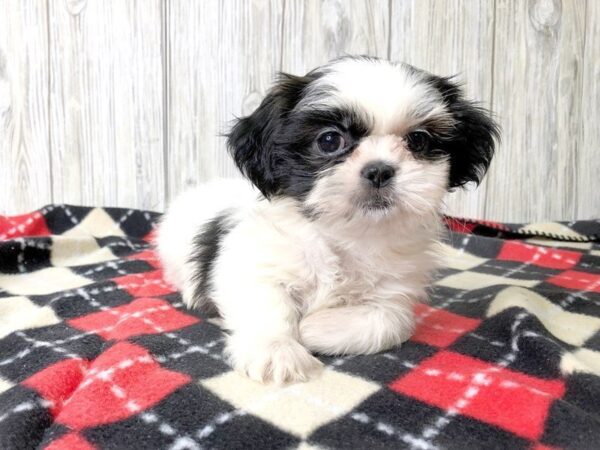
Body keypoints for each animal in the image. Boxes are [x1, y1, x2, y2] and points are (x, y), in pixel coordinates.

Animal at [155, 56, 496, 384]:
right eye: (330, 141)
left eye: (418, 141)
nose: (379, 170)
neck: (346, 234)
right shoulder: (253, 263)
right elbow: (267, 303)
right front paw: (277, 350)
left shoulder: (395, 292)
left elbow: (390, 321)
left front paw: (311, 329)